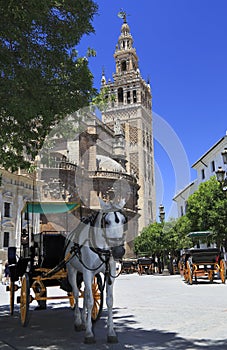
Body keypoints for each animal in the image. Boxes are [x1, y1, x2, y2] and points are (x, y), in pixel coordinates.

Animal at [65, 198, 127, 344]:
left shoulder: (110, 273)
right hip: (72, 270)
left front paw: (111, 332)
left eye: (123, 220)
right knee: (77, 294)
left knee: (85, 293)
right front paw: (89, 333)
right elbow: (89, 301)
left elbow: (109, 301)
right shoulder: (88, 273)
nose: (118, 251)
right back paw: (78, 321)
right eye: (107, 222)